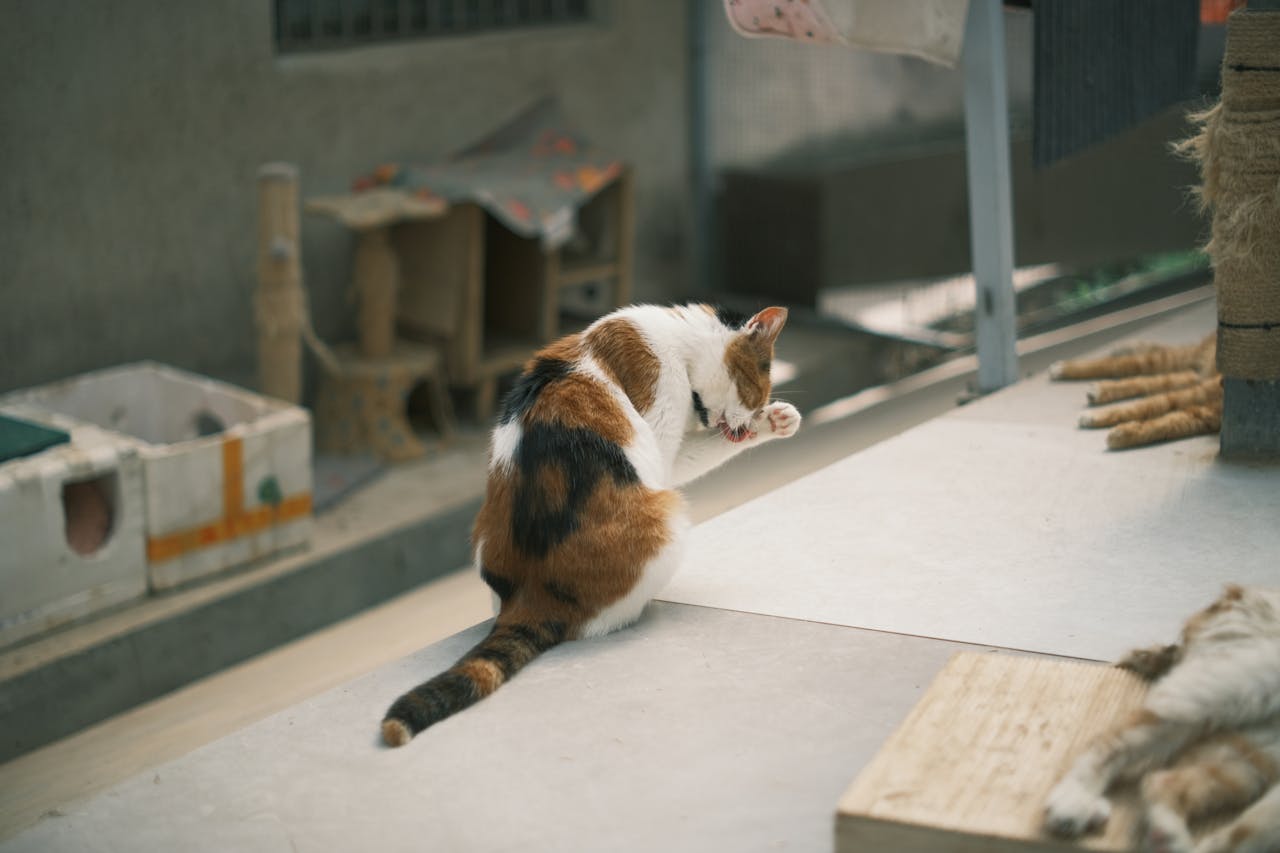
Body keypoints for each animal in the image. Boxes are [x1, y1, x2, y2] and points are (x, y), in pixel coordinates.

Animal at [378, 302, 798, 742]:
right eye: (753, 393)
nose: (745, 425)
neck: (678, 339)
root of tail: (528, 595)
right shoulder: (661, 423)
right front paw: (773, 421)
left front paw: (775, 422)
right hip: (667, 518)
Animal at [1044, 584, 1280, 850]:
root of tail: (1236, 591)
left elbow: (1249, 833)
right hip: (1236, 680)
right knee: (1111, 742)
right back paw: (1073, 802)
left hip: (1256, 749)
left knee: (1164, 781)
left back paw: (1168, 835)